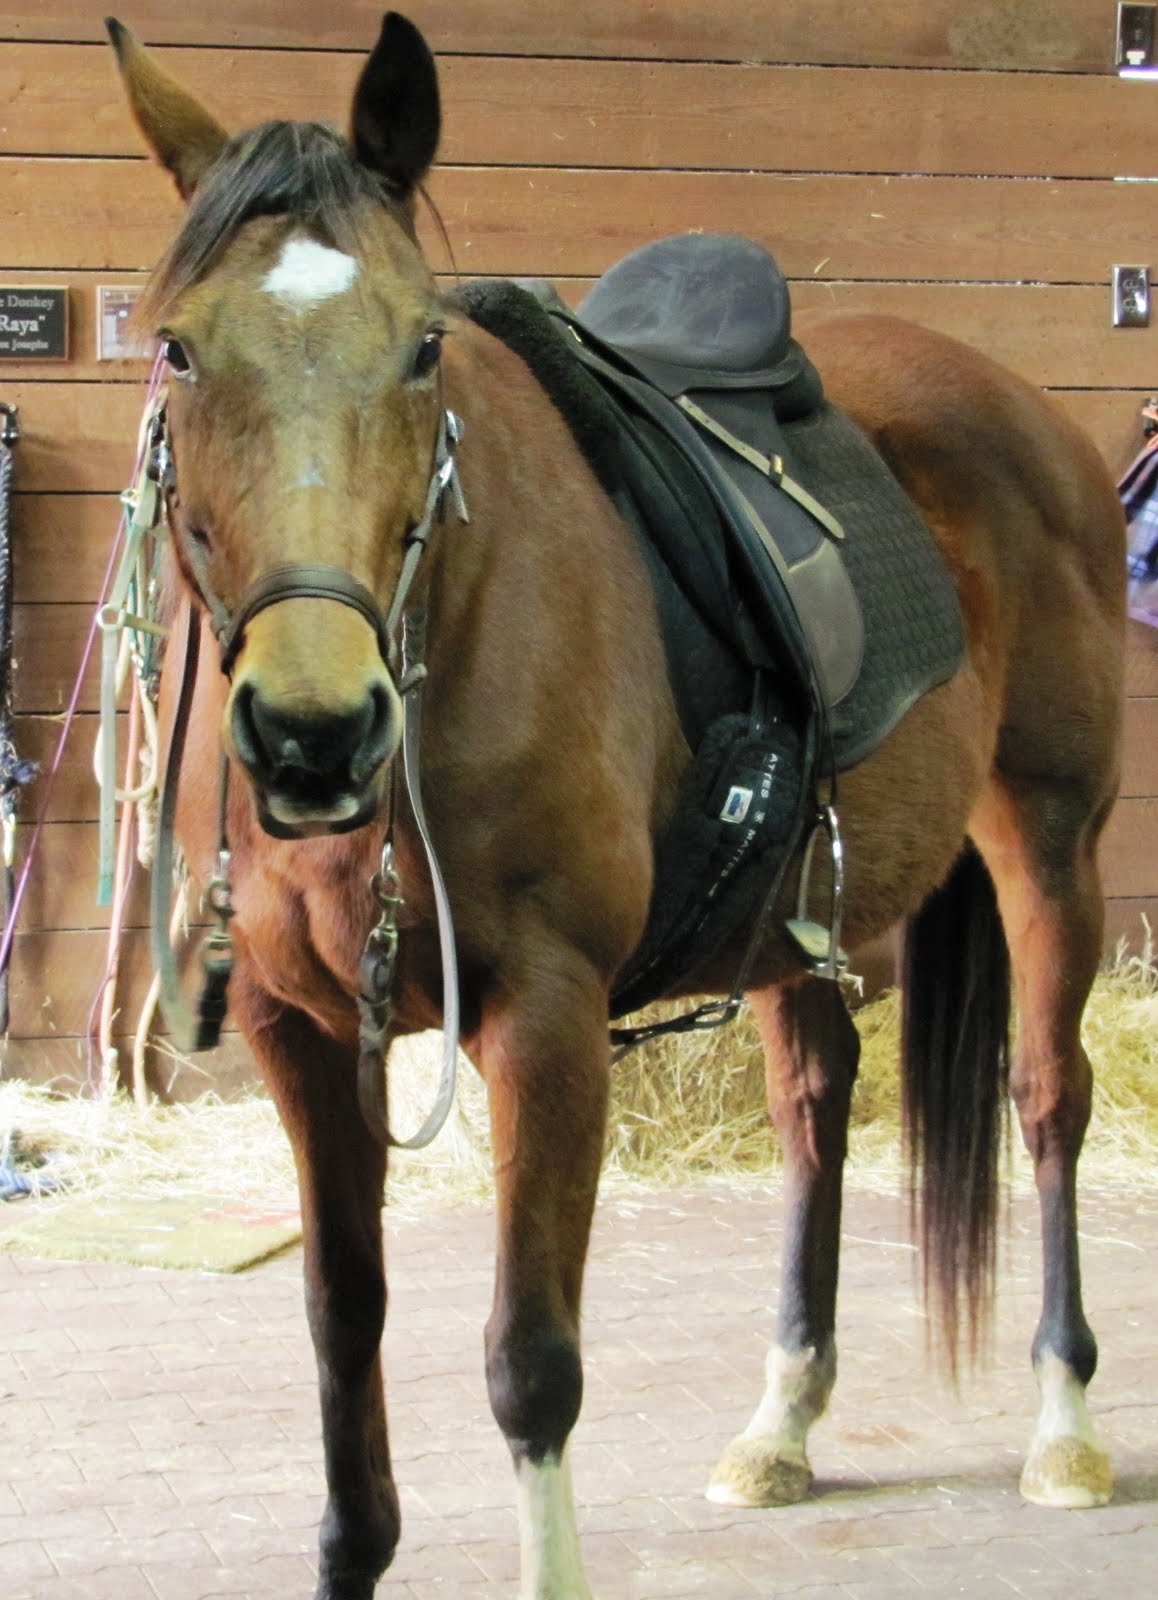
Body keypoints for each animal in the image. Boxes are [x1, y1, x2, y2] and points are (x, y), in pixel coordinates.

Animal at [107, 14, 1125, 1599]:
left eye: (421, 348)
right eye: (177, 345)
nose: (313, 731)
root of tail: (1023, 410)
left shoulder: (545, 1017)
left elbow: (531, 1363)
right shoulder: (300, 1030)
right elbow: (343, 1321)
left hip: (1052, 836)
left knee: (1046, 1097)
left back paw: (1062, 1425)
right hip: (800, 912)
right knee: (814, 1106)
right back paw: (782, 1421)